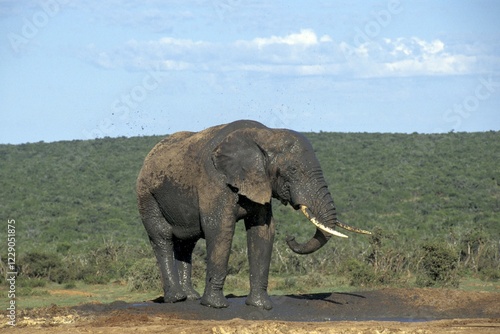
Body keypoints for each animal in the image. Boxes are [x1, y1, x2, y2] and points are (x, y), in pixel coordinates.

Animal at [137, 120, 372, 310]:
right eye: (293, 170)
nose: (291, 238)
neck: (265, 135)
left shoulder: (261, 183)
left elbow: (263, 230)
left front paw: (261, 306)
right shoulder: (215, 180)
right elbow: (220, 228)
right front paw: (216, 306)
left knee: (187, 243)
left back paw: (191, 298)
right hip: (147, 195)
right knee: (162, 236)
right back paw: (176, 298)